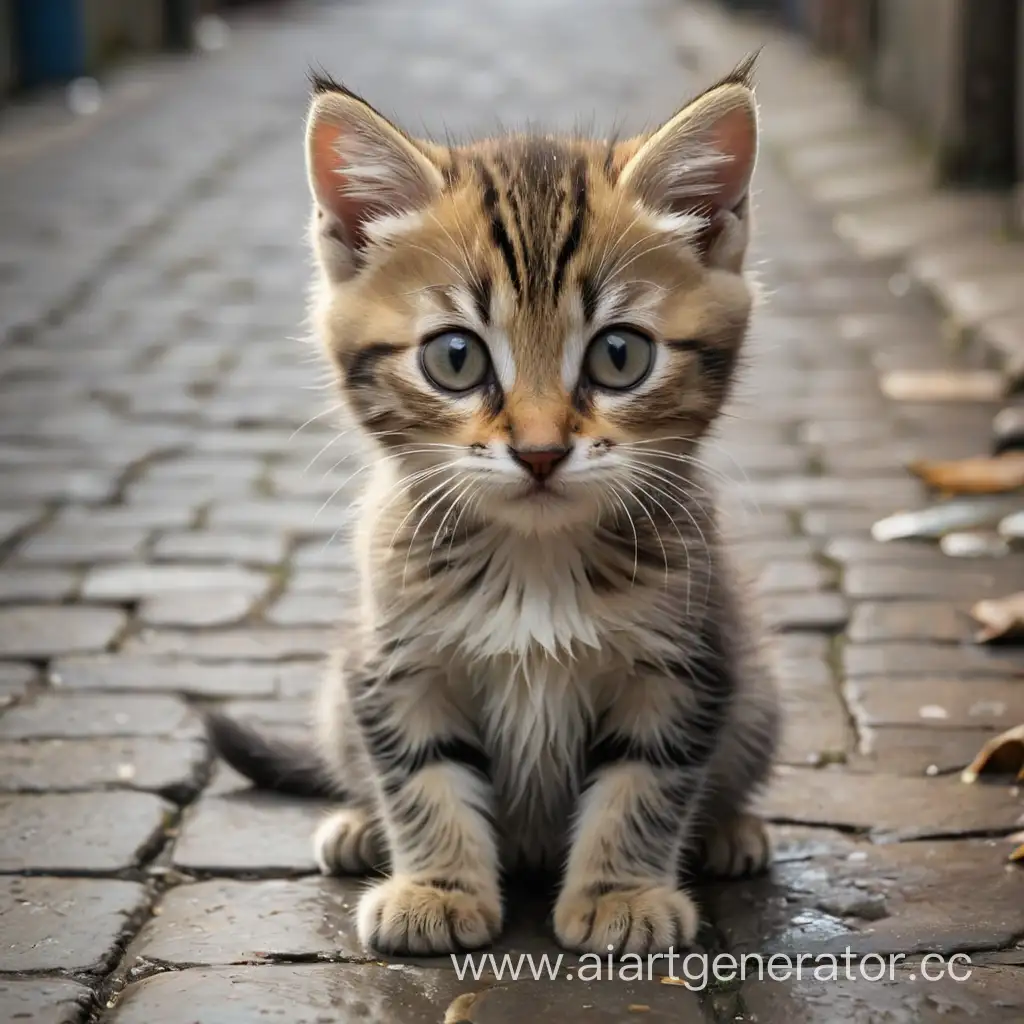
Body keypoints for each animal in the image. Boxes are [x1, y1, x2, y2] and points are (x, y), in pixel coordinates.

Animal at [209, 61, 782, 958]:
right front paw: (436, 888)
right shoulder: (394, 662)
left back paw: (729, 830)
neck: (534, 557)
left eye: (620, 355)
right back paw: (359, 827)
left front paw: (622, 893)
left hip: (756, 684)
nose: (542, 451)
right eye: (455, 357)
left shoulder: (685, 661)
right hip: (340, 685)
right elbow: (422, 776)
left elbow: (644, 783)